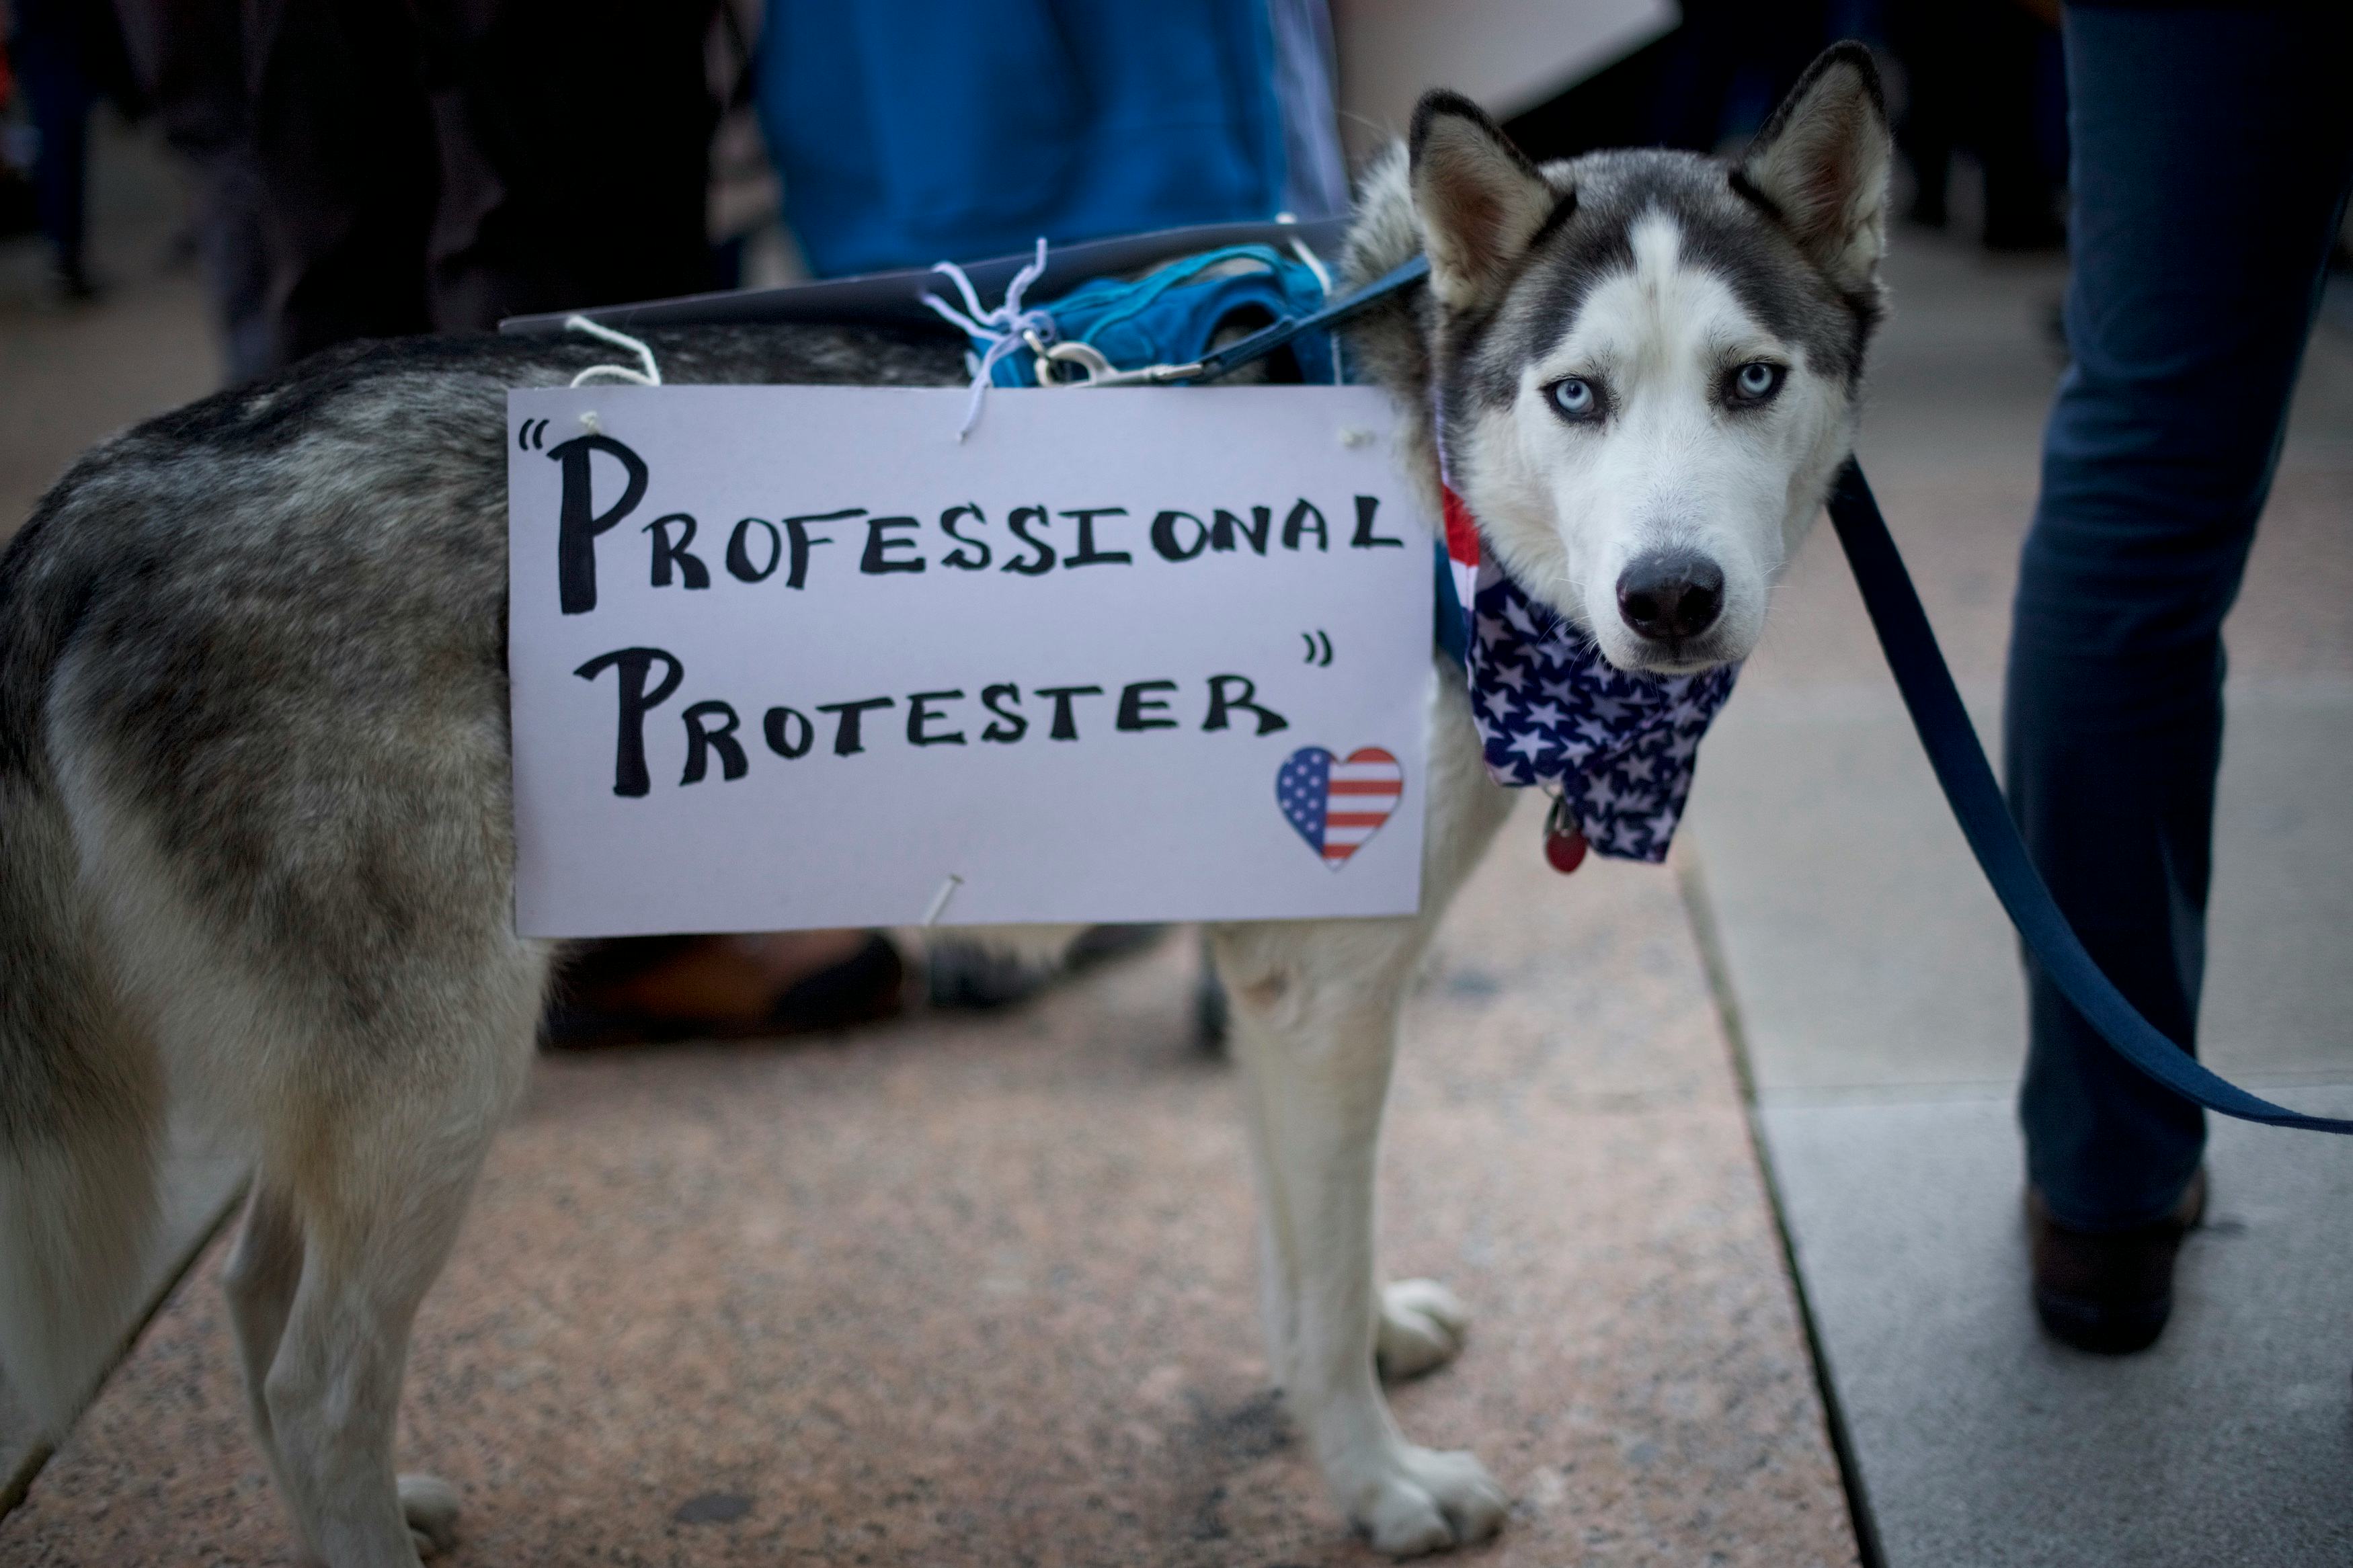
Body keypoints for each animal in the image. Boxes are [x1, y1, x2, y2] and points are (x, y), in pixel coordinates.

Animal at [0, 42, 1882, 1561]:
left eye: (1751, 381)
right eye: (1577, 396)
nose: (1670, 598)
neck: (1425, 449)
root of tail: (104, 490)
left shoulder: (1290, 979)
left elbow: (1311, 1264)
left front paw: (1355, 1360)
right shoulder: (1326, 979)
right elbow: (1315, 1289)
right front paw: (1377, 1483)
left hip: (355, 1081)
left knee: (258, 1304)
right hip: (438, 1071)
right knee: (318, 1375)